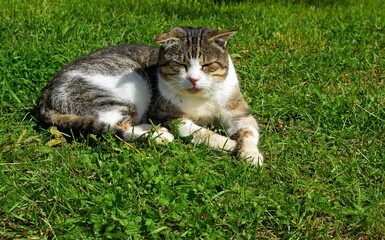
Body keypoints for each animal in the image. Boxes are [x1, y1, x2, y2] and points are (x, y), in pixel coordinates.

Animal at [38, 25, 264, 165]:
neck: (201, 99)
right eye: (180, 64)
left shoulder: (238, 112)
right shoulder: (165, 115)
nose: (193, 79)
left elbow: (249, 131)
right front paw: (225, 143)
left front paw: (250, 154)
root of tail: (46, 92)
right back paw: (159, 135)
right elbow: (196, 130)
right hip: (127, 88)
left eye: (207, 65)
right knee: (115, 126)